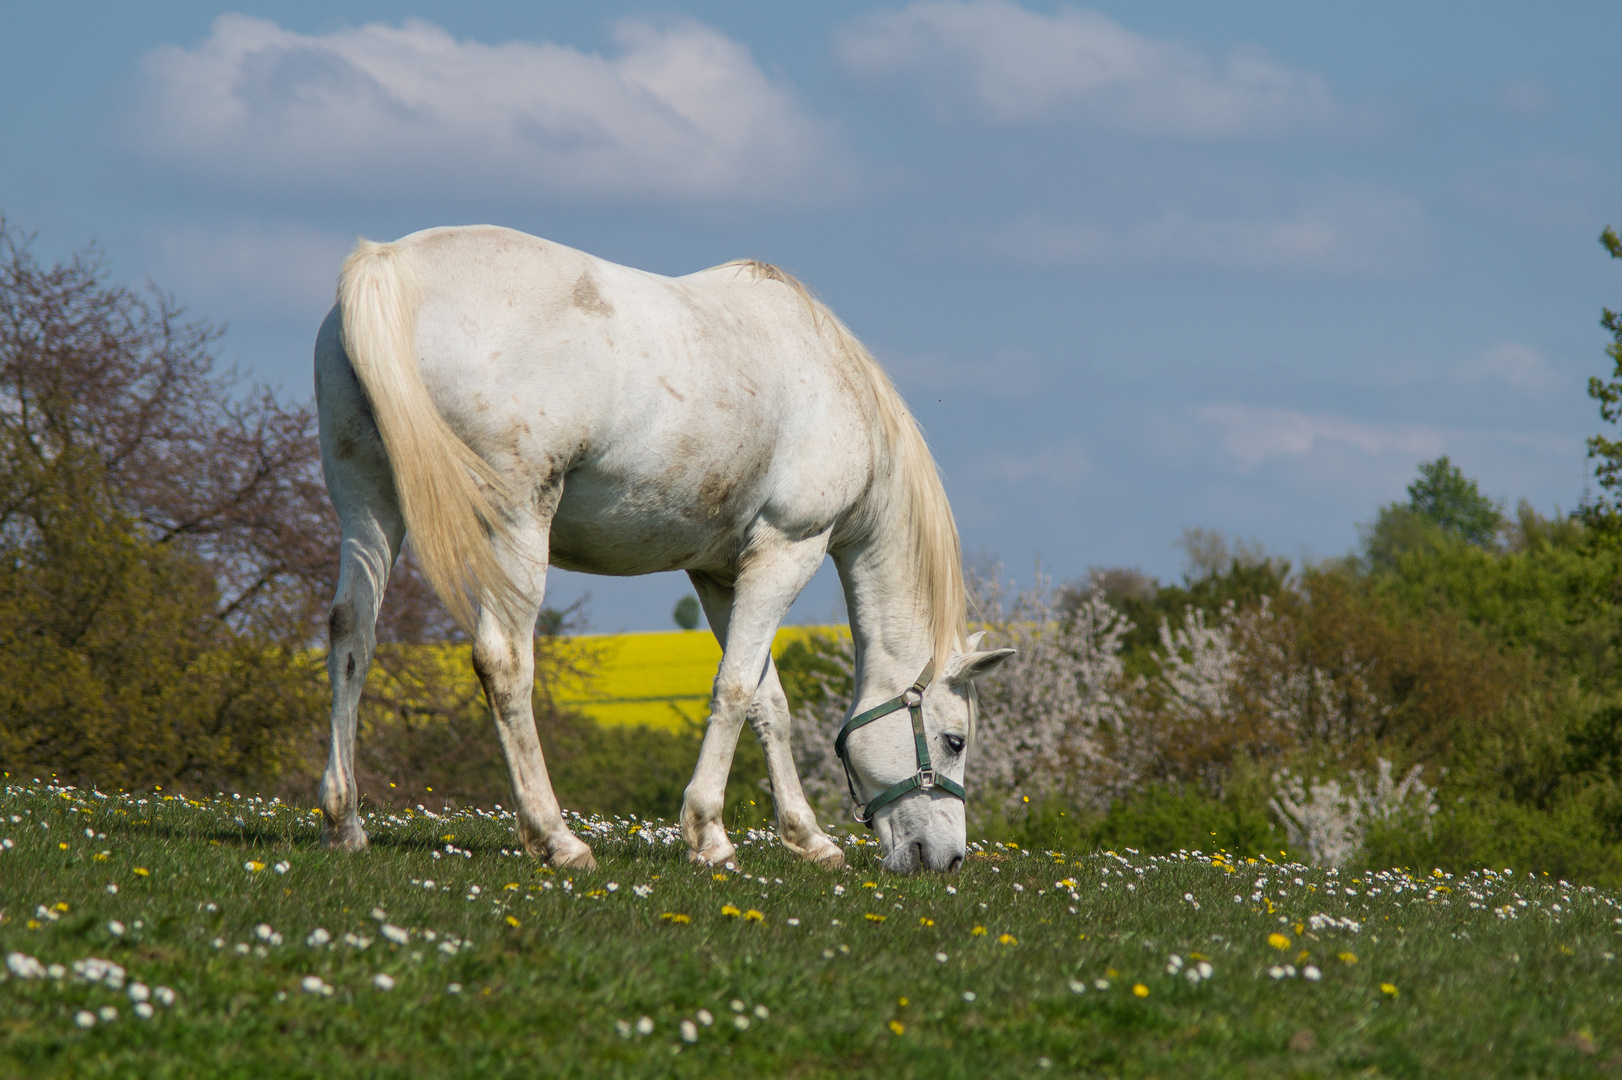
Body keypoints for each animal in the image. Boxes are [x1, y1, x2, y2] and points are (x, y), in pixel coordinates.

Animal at [309, 227, 1005, 875]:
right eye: (954, 741)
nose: (947, 859)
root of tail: (391, 264)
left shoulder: (721, 574)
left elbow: (768, 702)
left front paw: (807, 838)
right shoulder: (788, 550)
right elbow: (734, 689)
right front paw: (709, 836)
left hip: (367, 500)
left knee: (352, 633)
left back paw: (345, 824)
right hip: (518, 518)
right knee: (503, 661)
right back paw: (557, 838)